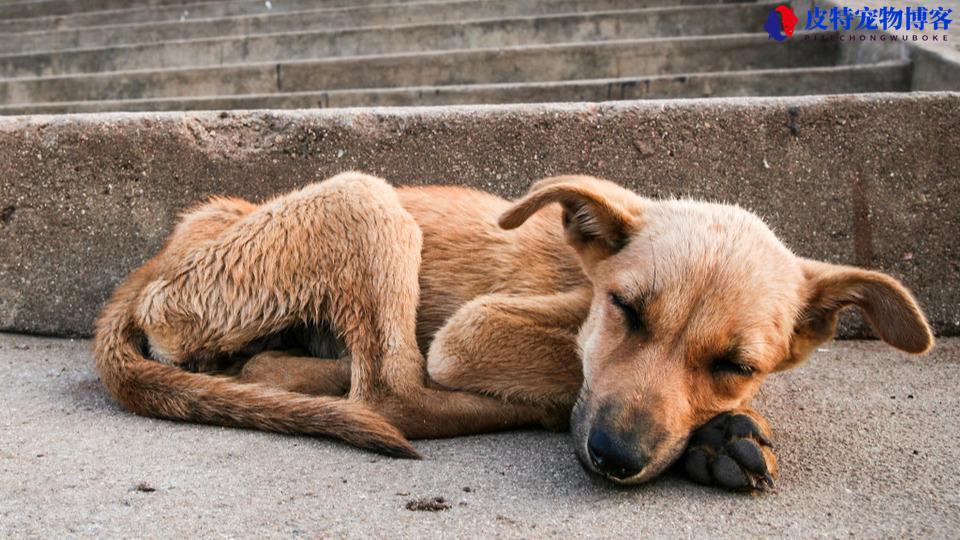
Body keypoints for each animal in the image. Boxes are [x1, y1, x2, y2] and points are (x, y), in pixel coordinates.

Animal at [95, 171, 928, 492]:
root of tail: (159, 259)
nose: (616, 457)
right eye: (626, 310)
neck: (582, 278)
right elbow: (567, 372)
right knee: (394, 393)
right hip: (365, 198)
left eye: (736, 363)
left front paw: (719, 430)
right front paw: (710, 436)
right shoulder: (473, 330)